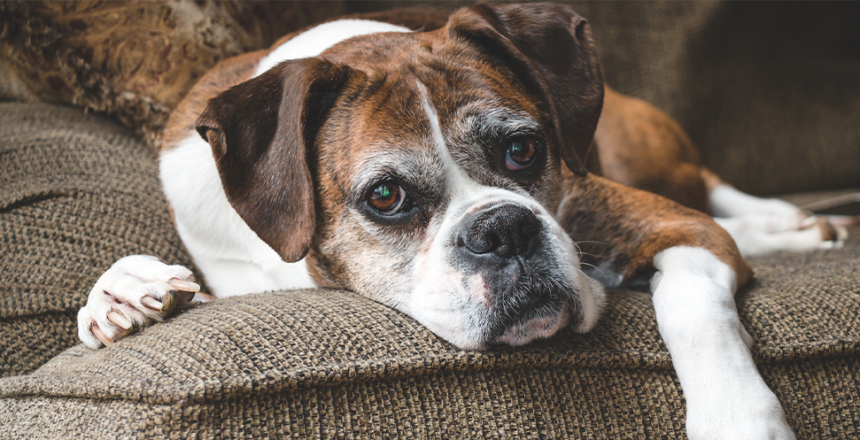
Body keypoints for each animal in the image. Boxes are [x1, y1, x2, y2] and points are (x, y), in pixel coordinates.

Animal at [77, 2, 844, 436]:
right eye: (385, 197)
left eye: (523, 149)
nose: (503, 229)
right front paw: (123, 296)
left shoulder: (677, 229)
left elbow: (691, 307)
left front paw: (738, 420)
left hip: (645, 155)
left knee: (708, 185)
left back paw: (790, 223)